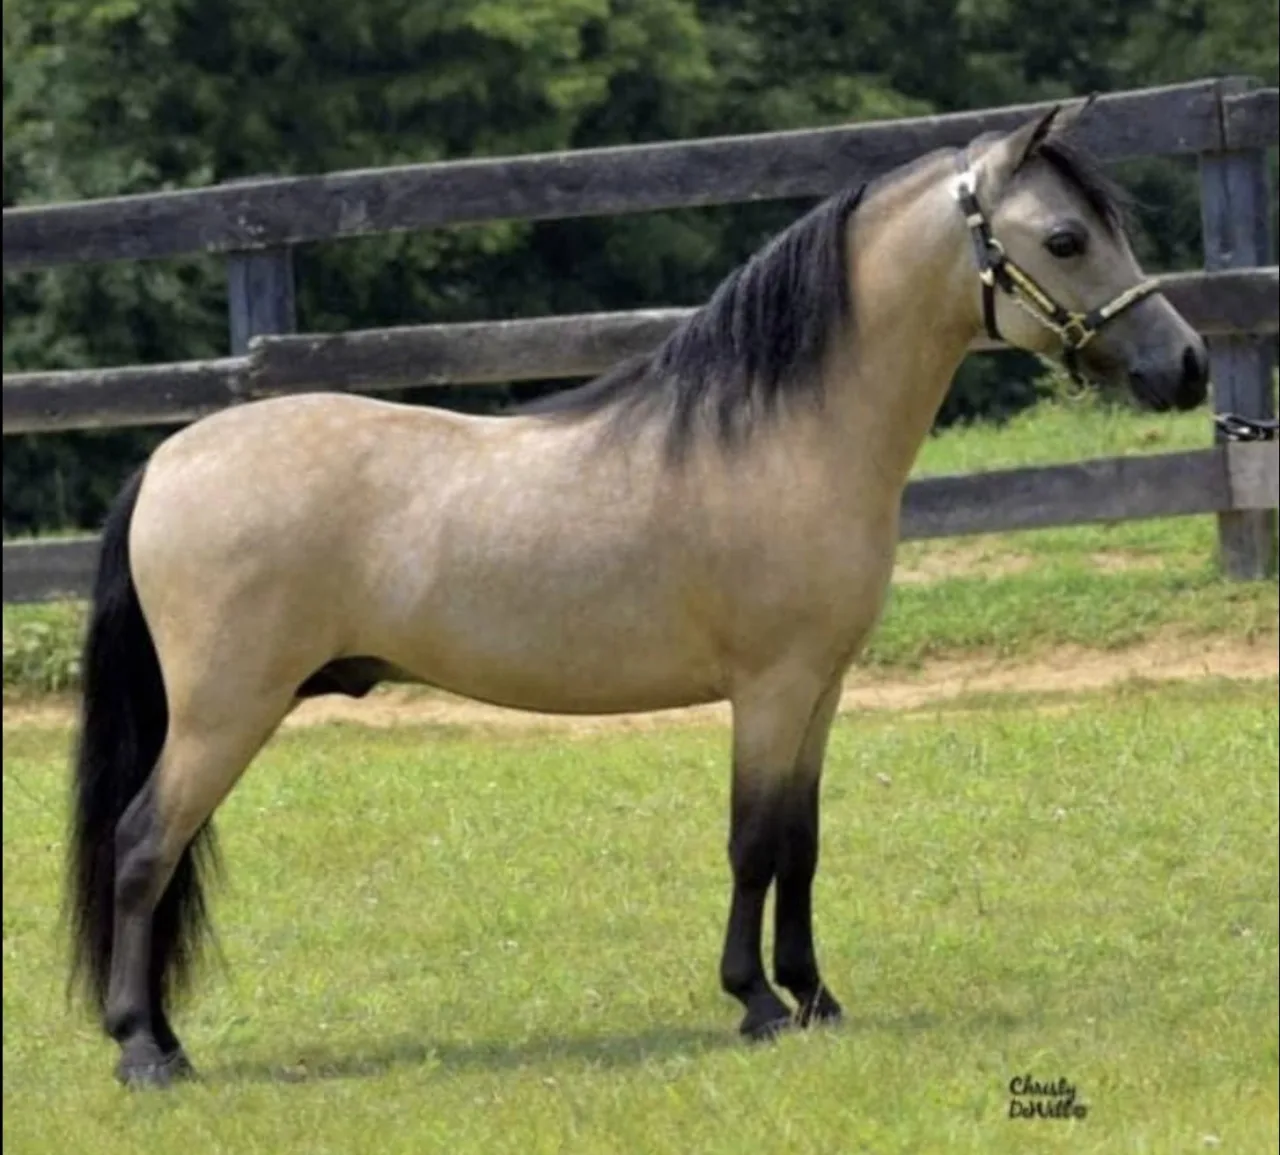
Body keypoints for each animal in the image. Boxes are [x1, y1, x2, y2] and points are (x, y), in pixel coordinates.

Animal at [66, 100, 1209, 1088]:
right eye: (1065, 239)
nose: (1187, 364)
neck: (785, 434)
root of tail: (169, 458)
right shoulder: (770, 688)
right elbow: (752, 842)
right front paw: (756, 1003)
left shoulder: (821, 689)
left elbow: (801, 843)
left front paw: (816, 997)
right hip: (223, 714)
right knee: (143, 847)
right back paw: (141, 1051)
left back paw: (166, 1039)